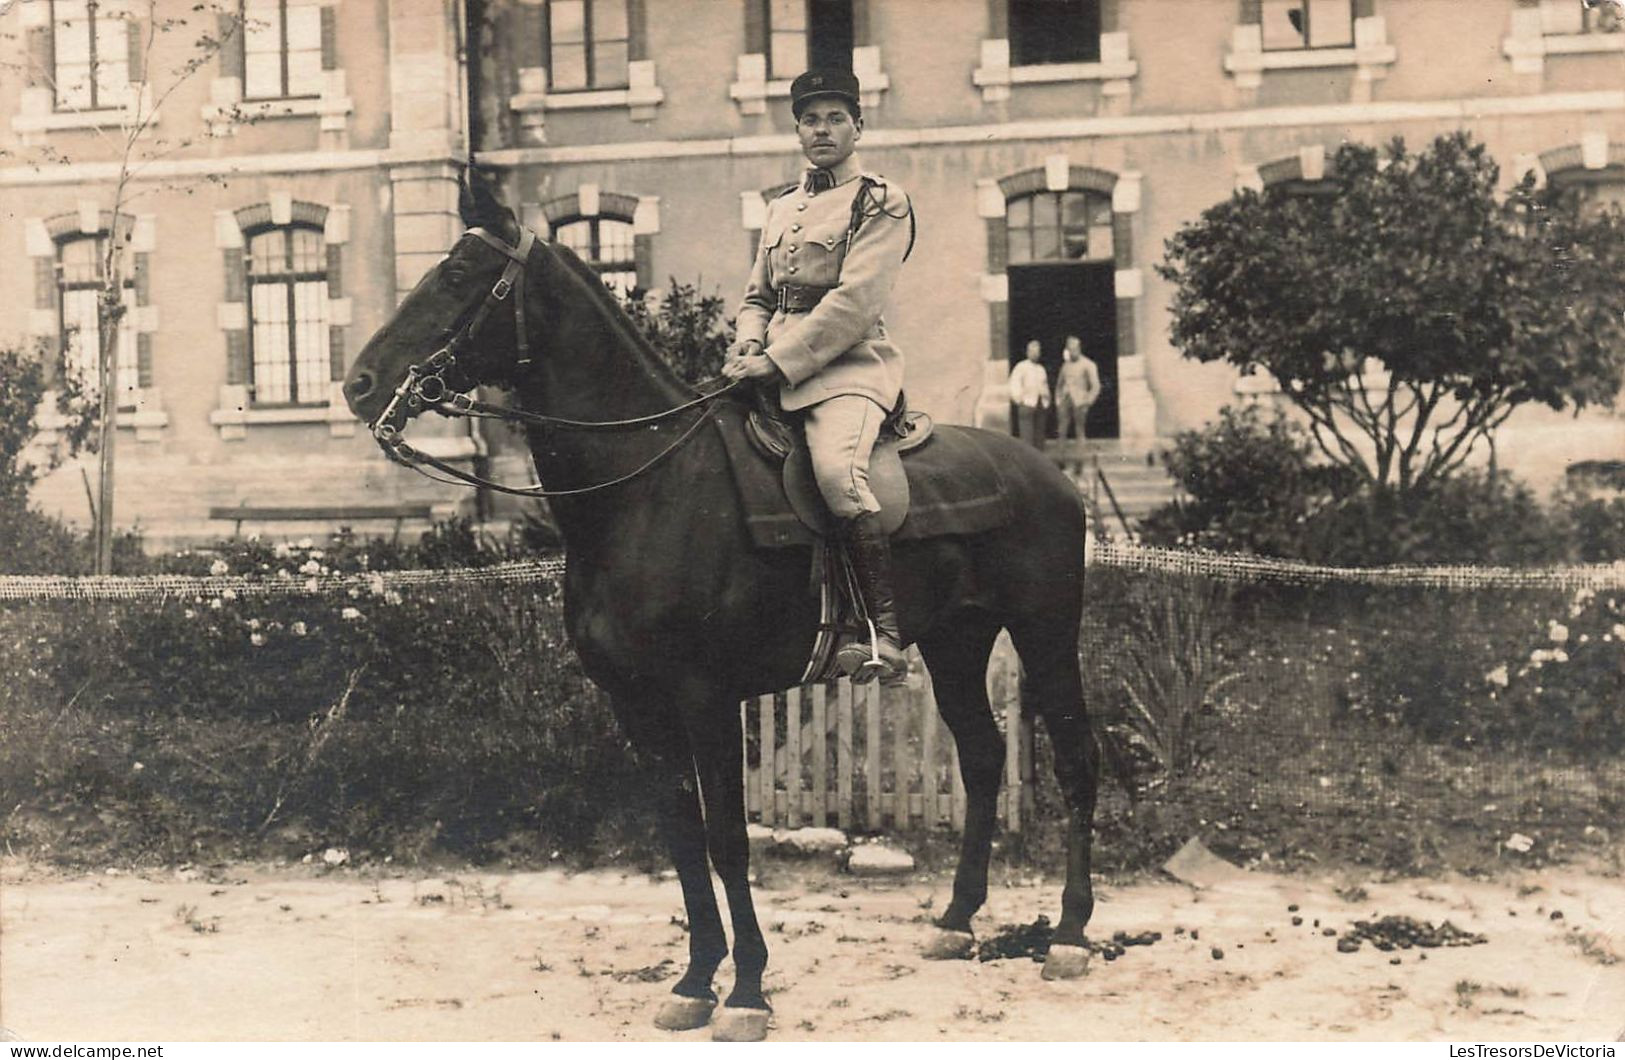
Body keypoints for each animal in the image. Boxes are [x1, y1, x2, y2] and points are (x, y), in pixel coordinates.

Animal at [342, 178, 1105, 1040]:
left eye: (457, 273)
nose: (358, 383)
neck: (645, 485)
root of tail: (1049, 472)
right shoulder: (638, 706)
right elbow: (680, 835)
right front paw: (695, 978)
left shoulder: (706, 700)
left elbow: (727, 840)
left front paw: (745, 991)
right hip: (955, 642)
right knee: (980, 756)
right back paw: (955, 919)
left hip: (1044, 634)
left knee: (1075, 760)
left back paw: (1069, 934)